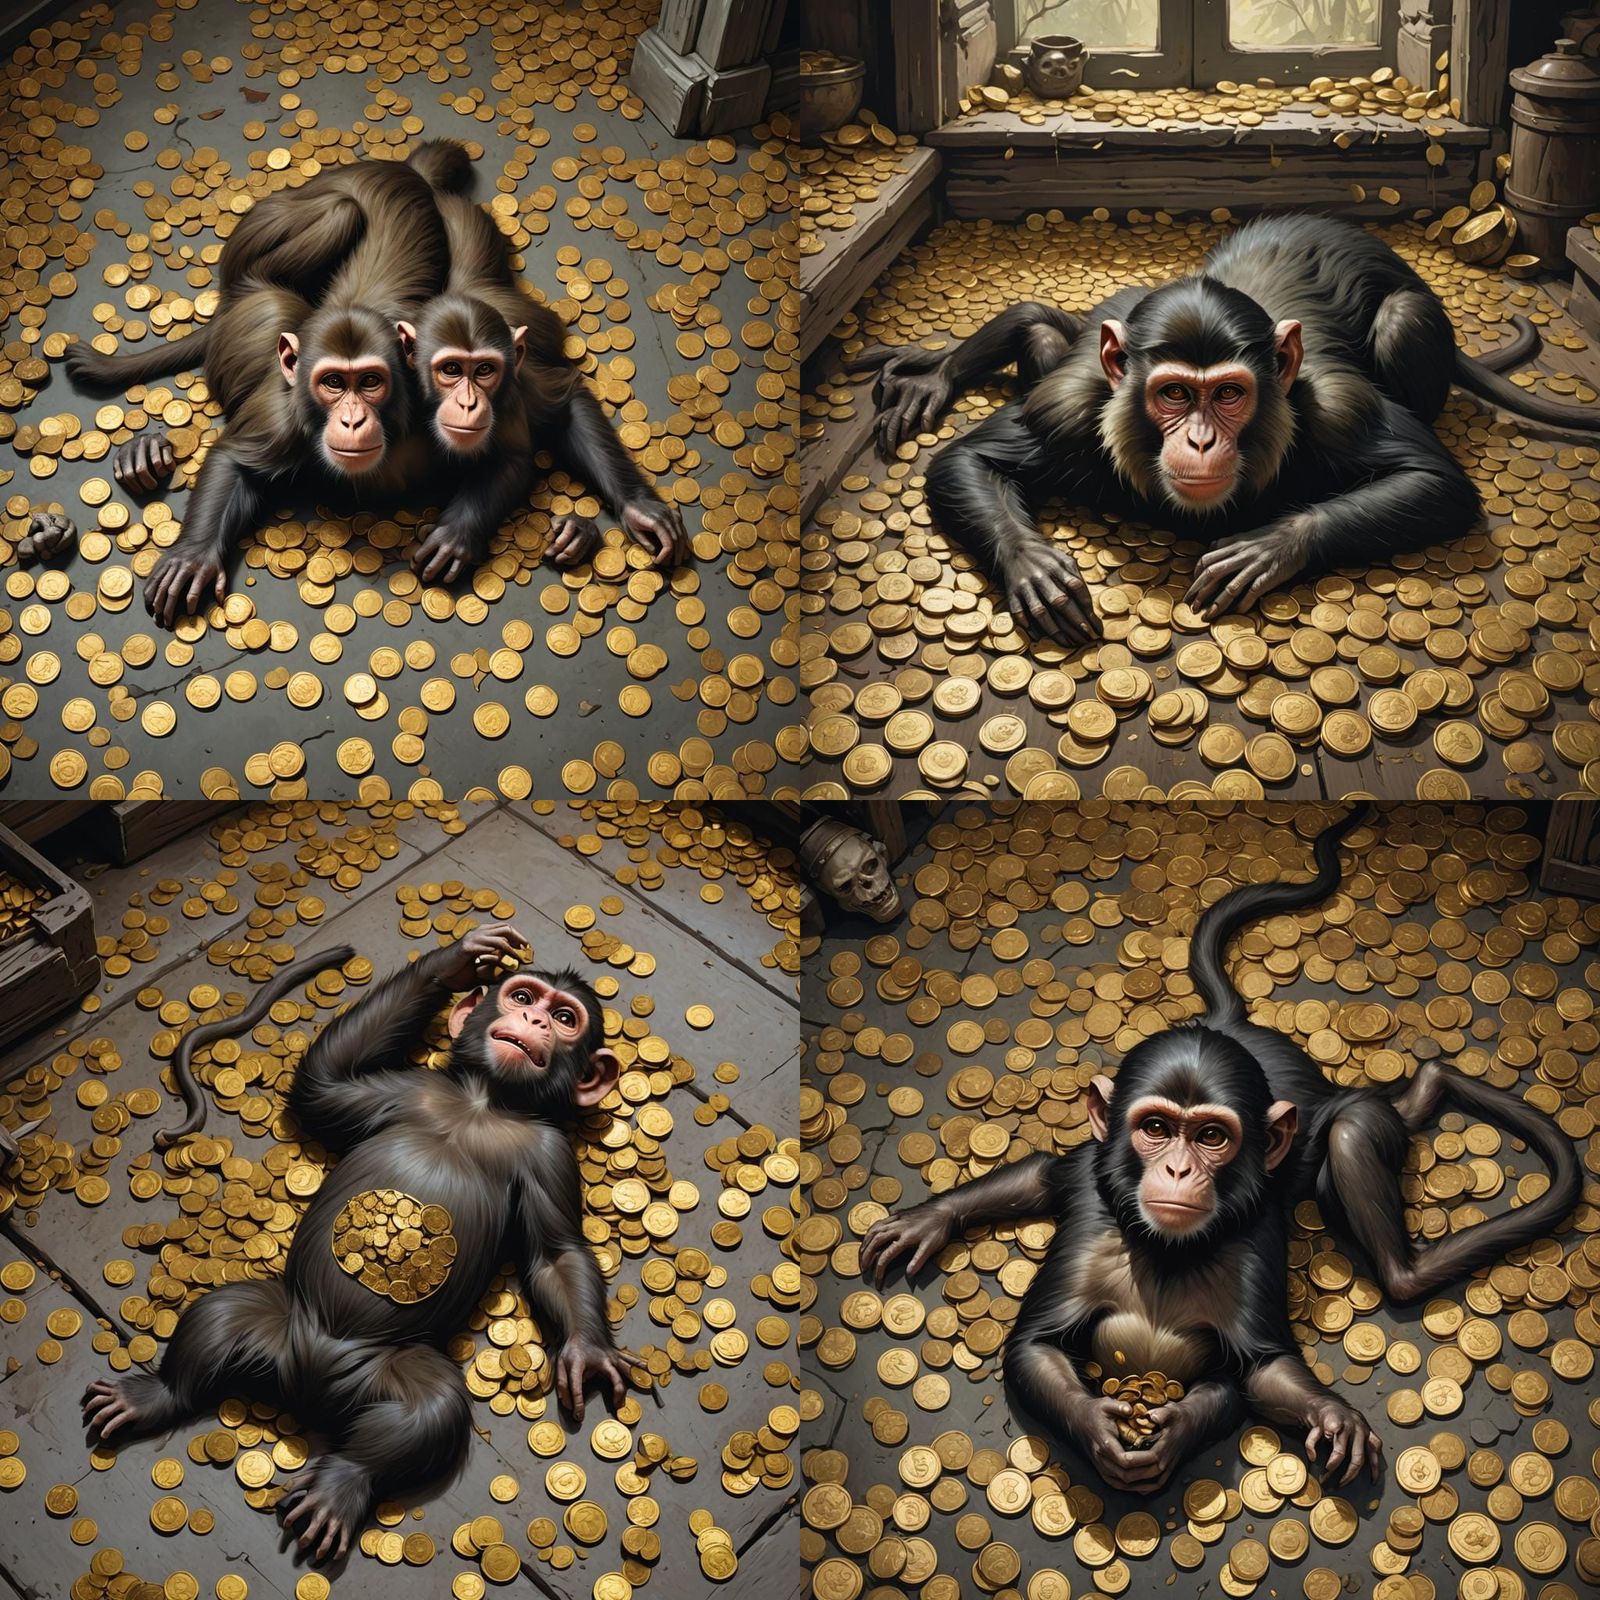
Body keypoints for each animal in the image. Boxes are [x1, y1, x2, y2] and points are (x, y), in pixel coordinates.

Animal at [64, 153, 454, 629]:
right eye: (332, 383)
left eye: (370, 382)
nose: (352, 419)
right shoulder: (283, 416)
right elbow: (233, 460)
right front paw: (195, 555)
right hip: (256, 238)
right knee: (340, 215)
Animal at [81, 923, 640, 1564]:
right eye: (522, 997)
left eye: (567, 1017)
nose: (537, 1021)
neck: (482, 1103)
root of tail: (303, 1383)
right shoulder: (405, 1090)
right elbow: (321, 1084)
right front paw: (459, 959)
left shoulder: (550, 1156)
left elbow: (554, 1252)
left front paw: (587, 1350)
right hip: (280, 1318)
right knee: (221, 1315)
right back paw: (155, 1394)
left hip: (385, 1369)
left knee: (431, 1409)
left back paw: (341, 1484)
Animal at [396, 141, 689, 584]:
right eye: (450, 371)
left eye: (485, 371)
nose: (468, 402)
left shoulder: (516, 387)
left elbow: (559, 411)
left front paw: (637, 506)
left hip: (472, 233)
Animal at [851, 213, 1599, 646]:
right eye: (1176, 394)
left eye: (1230, 395)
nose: (1202, 440)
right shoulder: (1064, 408)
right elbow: (967, 461)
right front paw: (1035, 566)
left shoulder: (1341, 409)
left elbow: (1437, 483)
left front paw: (1271, 545)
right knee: (1037, 323)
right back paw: (936, 373)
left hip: (1414, 324)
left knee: (1403, 317)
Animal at [860, 803, 1582, 1495]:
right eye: (1156, 1128)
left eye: (1211, 1136)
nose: (1179, 1169)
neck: (1164, 1250)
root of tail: (1231, 1025)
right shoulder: (1091, 1208)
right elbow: (1033, 1339)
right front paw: (1098, 1425)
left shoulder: (1249, 1254)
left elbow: (1259, 1372)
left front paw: (1305, 1418)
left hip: (1327, 1120)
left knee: (1358, 1147)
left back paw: (1433, 1091)